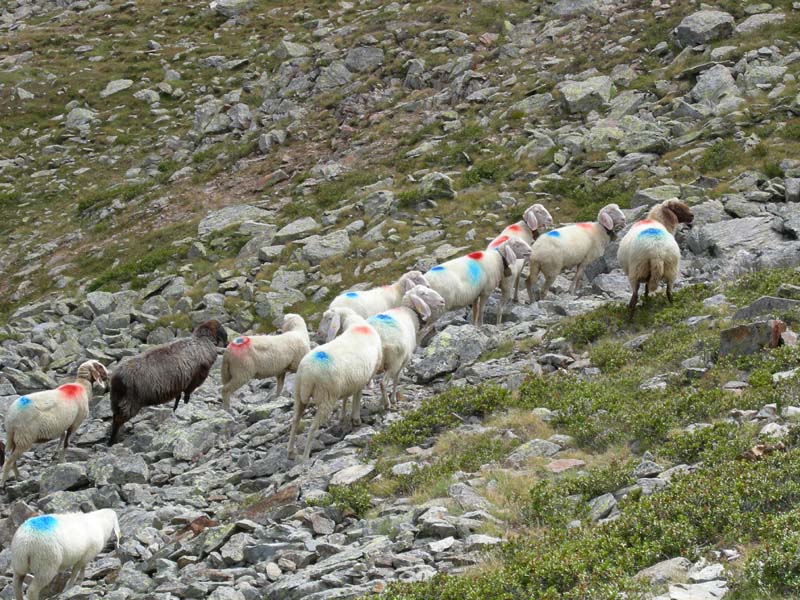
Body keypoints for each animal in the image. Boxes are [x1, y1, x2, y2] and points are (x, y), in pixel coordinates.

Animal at [1, 360, 108, 488]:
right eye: (100, 366)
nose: (107, 376)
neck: (82, 386)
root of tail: (10, 418)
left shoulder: (63, 423)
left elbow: (62, 436)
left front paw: (55, 455)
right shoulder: (76, 422)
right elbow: (67, 442)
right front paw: (63, 461)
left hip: (16, 438)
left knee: (12, 459)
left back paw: (19, 477)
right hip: (25, 437)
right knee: (9, 461)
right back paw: (4, 483)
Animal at [290, 310, 382, 460]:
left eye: (328, 318)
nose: (319, 333)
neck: (356, 325)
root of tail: (307, 374)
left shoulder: (350, 381)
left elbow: (347, 397)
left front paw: (343, 417)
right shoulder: (363, 377)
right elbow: (357, 397)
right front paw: (356, 419)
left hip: (299, 394)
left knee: (295, 421)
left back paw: (290, 451)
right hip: (326, 398)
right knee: (313, 428)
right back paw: (305, 458)